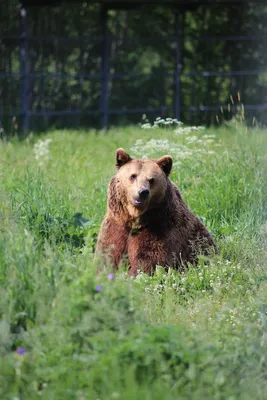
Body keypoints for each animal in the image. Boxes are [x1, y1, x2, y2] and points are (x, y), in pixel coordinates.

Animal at [95, 147, 217, 276]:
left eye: (151, 179)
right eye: (133, 176)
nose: (142, 192)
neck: (134, 219)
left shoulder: (160, 228)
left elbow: (149, 261)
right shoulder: (116, 226)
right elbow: (107, 255)